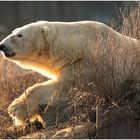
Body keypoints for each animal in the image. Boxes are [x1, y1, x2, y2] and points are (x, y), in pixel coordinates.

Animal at [0, 20, 139, 127]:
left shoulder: (88, 66)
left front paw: (15, 108)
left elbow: (65, 86)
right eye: (13, 31)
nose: (2, 45)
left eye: (19, 35)